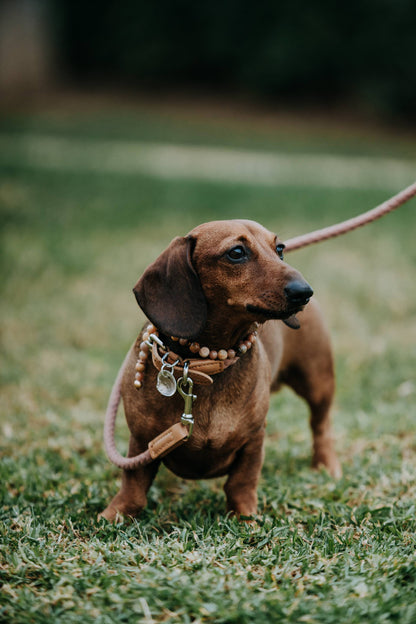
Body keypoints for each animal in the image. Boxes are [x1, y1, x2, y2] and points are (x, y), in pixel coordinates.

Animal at [101, 219, 342, 520]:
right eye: (236, 252)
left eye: (280, 249)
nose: (304, 292)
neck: (201, 366)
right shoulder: (143, 441)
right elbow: (133, 487)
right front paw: (114, 514)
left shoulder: (254, 439)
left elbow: (242, 482)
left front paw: (246, 517)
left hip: (317, 383)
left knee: (321, 426)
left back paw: (326, 466)